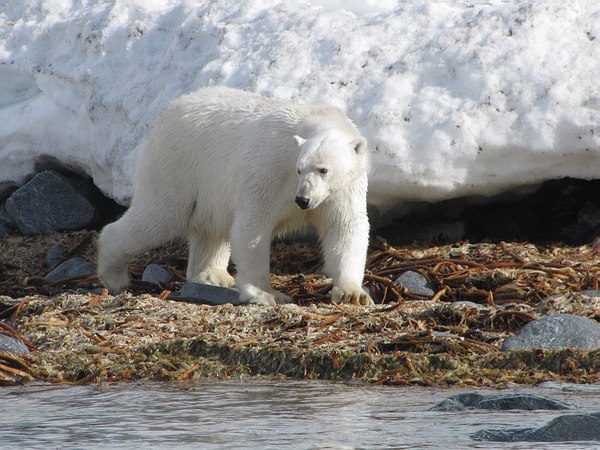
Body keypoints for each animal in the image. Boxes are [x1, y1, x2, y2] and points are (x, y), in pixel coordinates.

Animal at [96, 87, 372, 306]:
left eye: (323, 169)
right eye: (299, 169)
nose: (303, 200)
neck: (313, 118)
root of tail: (167, 112)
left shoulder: (346, 187)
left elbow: (345, 226)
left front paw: (353, 294)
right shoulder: (270, 169)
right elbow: (253, 225)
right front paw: (266, 293)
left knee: (210, 229)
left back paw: (213, 276)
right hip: (176, 164)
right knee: (159, 216)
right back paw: (114, 275)